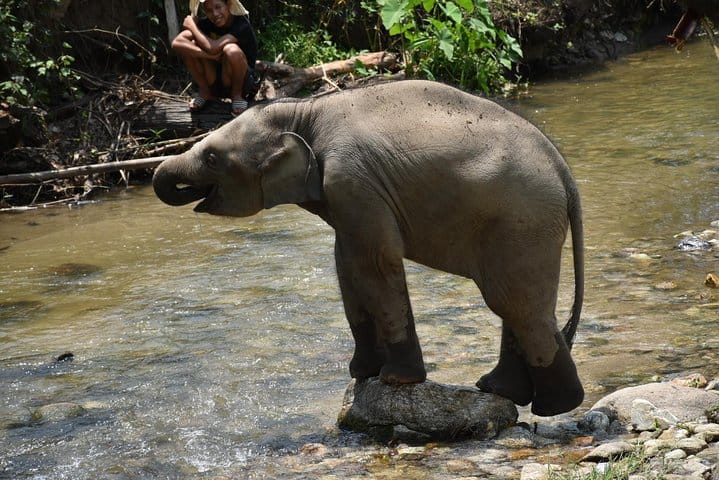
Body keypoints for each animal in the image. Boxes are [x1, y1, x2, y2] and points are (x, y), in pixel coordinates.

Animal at [153, 80, 585, 416]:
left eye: (211, 157)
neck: (304, 110)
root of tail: (564, 172)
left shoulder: (352, 180)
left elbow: (376, 262)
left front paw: (395, 380)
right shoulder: (345, 196)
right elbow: (347, 266)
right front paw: (362, 374)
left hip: (522, 220)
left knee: (514, 303)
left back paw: (557, 406)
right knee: (514, 302)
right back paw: (498, 390)